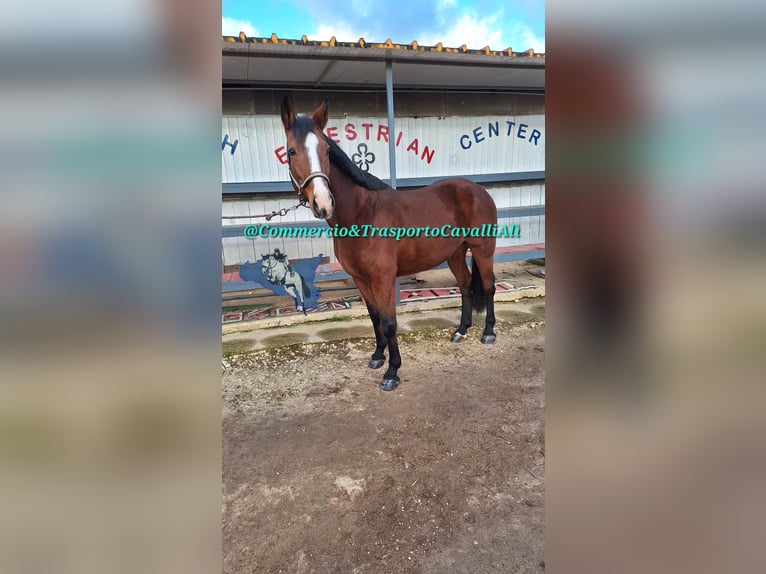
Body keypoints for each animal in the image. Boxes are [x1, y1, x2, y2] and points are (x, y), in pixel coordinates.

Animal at [282, 99, 498, 394]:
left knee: (488, 287)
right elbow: (374, 317)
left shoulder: (383, 278)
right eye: (291, 151)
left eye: (326, 150)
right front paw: (377, 357)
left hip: (483, 249)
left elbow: (389, 322)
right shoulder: (360, 278)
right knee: (465, 285)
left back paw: (488, 333)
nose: (324, 203)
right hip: (454, 253)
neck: (361, 213)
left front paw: (392, 372)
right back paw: (461, 331)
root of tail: (478, 191)